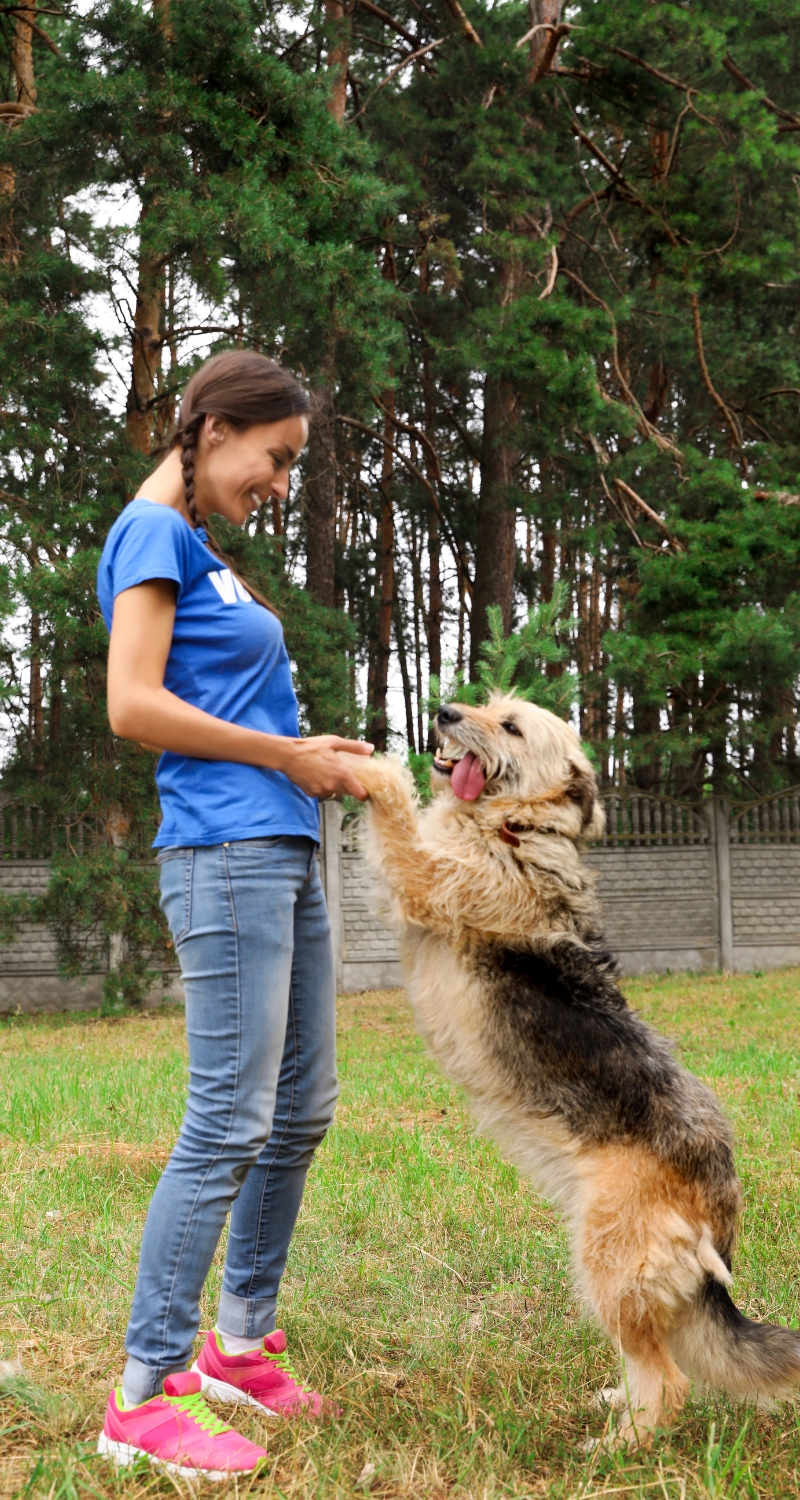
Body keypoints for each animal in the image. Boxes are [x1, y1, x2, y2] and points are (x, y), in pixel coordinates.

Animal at [337, 696, 798, 1446]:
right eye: (484, 702)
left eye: (512, 726)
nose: (444, 710)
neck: (516, 827)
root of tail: (722, 1193)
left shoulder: (422, 876)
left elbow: (398, 812)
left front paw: (371, 767)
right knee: (665, 1362)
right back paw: (619, 1406)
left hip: (607, 1260)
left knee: (670, 1382)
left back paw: (618, 1448)